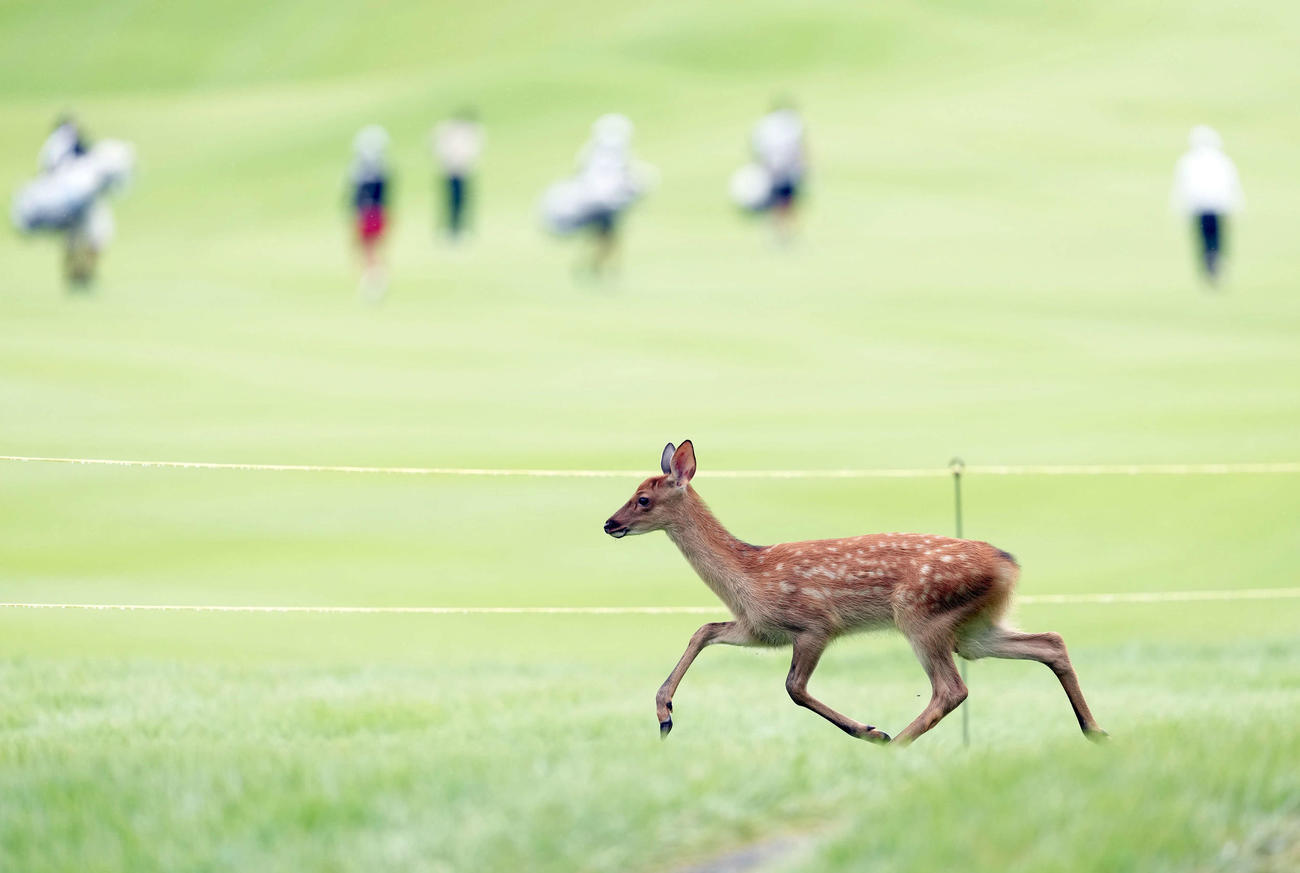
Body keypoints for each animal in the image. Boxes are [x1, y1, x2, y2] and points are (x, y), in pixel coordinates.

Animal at [602, 440, 1107, 746]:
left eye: (643, 499)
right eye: (633, 491)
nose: (610, 523)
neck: (749, 574)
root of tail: (1007, 564)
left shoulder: (814, 624)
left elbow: (793, 688)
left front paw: (868, 730)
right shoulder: (760, 630)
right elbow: (704, 629)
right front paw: (665, 714)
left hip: (921, 615)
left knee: (952, 689)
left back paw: (894, 744)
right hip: (974, 629)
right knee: (1050, 642)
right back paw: (1094, 730)